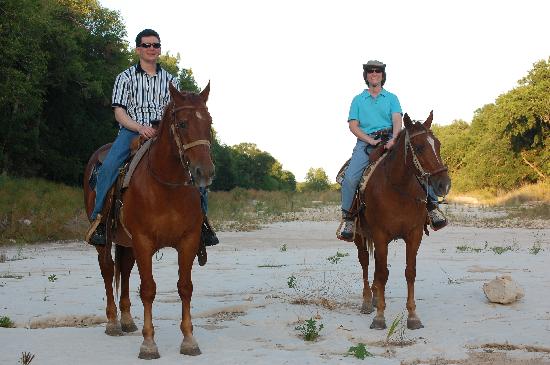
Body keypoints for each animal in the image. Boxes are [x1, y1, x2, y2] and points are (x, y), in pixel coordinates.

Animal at [83, 82, 215, 358]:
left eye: (209, 122)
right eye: (183, 123)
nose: (205, 172)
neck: (166, 185)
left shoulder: (188, 240)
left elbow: (185, 287)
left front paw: (189, 340)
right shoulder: (143, 241)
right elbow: (148, 289)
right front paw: (149, 344)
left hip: (127, 242)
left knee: (124, 269)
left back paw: (127, 320)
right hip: (107, 241)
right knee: (108, 270)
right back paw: (113, 322)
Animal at [356, 111, 450, 330]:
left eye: (438, 144)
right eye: (419, 147)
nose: (444, 184)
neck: (398, 188)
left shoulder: (414, 234)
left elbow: (409, 272)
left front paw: (413, 316)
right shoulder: (380, 235)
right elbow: (382, 273)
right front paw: (379, 317)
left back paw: (375, 298)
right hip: (359, 235)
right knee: (365, 263)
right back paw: (368, 301)